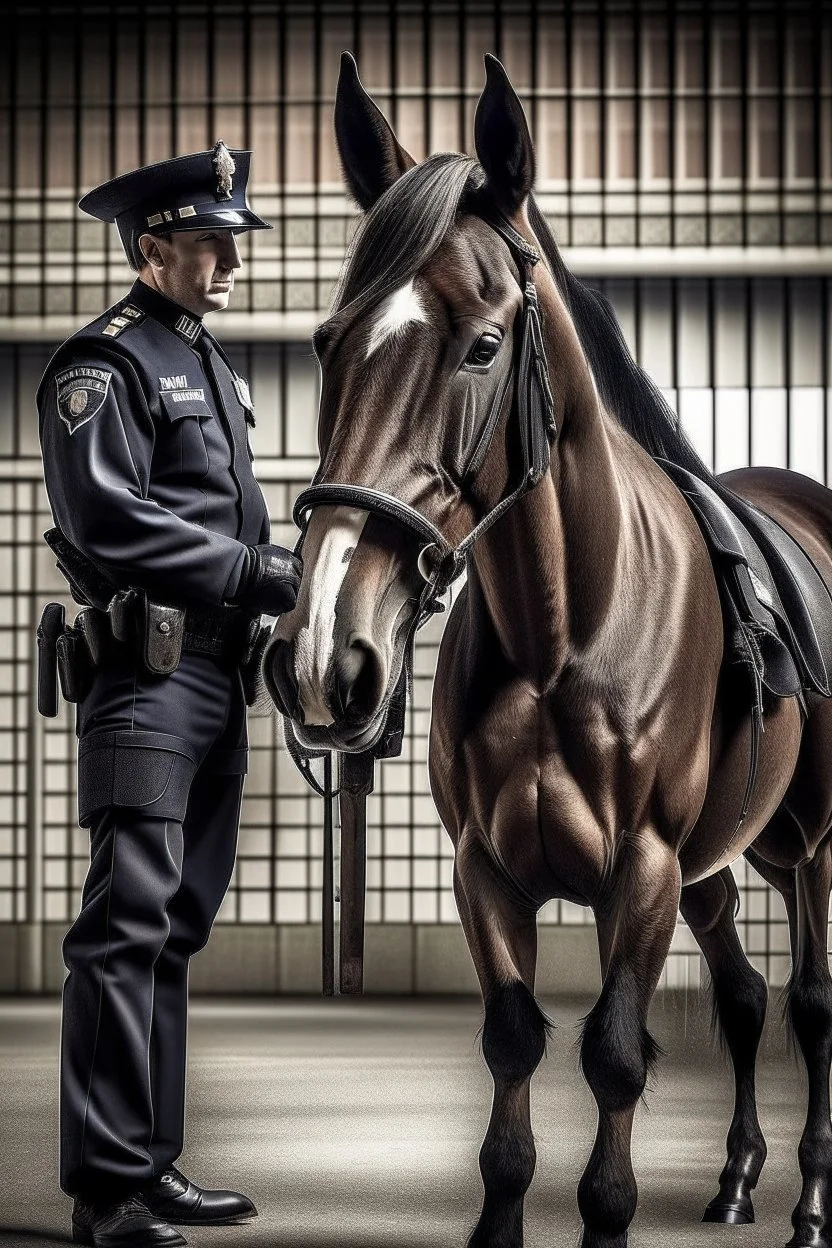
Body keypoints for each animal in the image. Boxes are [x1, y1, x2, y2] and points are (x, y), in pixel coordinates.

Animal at [263, 56, 832, 1248]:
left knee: (810, 1005)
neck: (563, 633)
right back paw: (737, 1181)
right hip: (724, 863)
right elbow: (513, 1051)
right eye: (329, 343)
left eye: (483, 343)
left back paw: (805, 1201)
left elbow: (612, 1059)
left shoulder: (643, 870)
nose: (325, 651)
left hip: (807, 844)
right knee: (748, 997)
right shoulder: (487, 869)